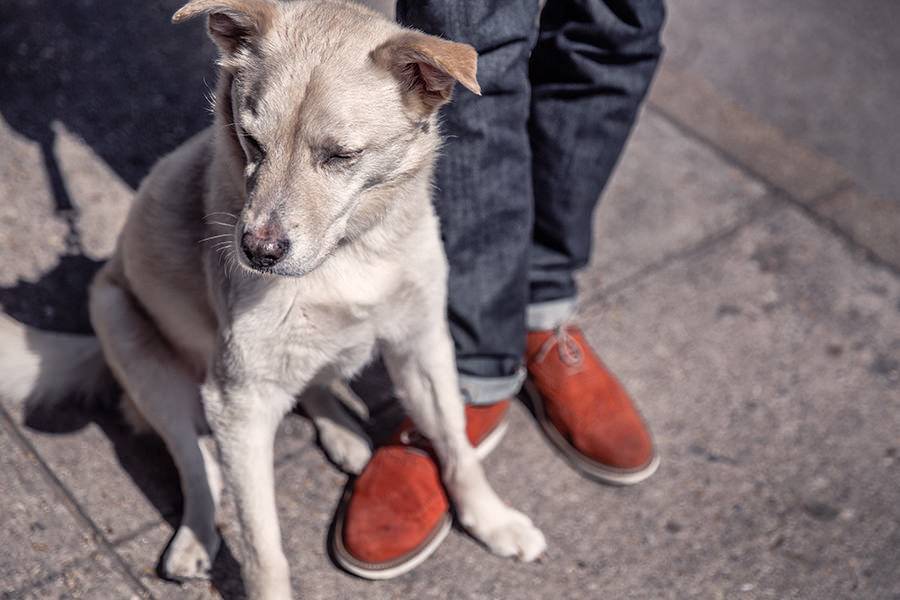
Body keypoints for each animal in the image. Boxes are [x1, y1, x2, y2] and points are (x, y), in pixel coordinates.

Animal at [0, 1, 544, 596]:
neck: (347, 253)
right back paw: (195, 537)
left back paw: (342, 431)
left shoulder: (423, 345)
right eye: (251, 141)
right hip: (132, 338)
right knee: (198, 462)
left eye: (341, 156)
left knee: (311, 386)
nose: (257, 252)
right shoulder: (239, 402)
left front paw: (491, 519)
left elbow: (456, 445)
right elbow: (262, 546)